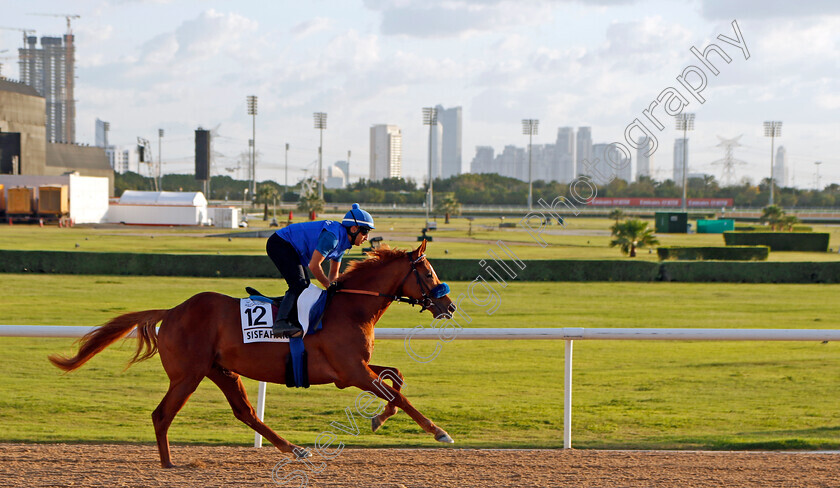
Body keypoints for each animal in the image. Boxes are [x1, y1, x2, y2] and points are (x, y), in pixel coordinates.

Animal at [49, 240, 456, 468]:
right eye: (429, 273)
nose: (448, 305)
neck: (349, 307)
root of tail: (172, 311)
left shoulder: (354, 369)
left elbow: (396, 379)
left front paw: (378, 420)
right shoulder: (352, 371)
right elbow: (399, 395)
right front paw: (439, 432)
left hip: (221, 371)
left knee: (245, 413)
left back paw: (295, 450)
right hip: (188, 375)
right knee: (161, 415)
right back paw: (168, 464)